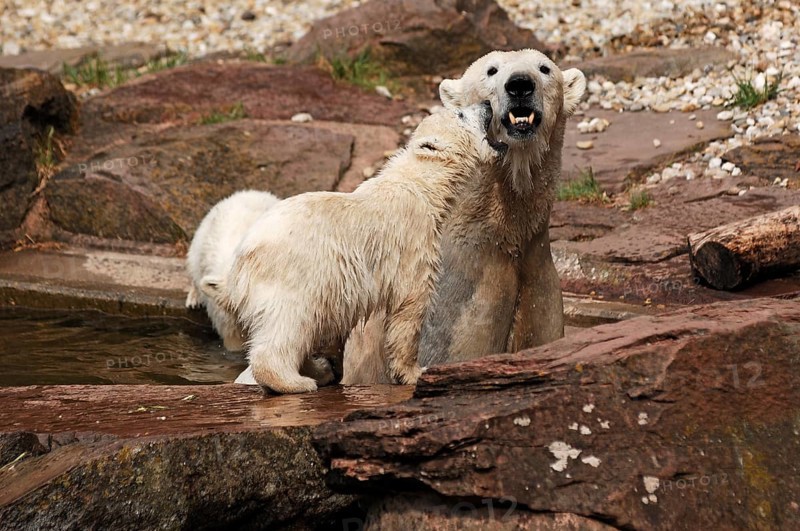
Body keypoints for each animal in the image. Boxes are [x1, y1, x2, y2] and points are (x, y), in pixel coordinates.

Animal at [204, 102, 504, 394]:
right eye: (461, 113)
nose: (487, 104)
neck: (419, 185)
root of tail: (238, 268)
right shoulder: (412, 239)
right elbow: (410, 304)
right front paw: (414, 372)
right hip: (295, 277)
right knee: (290, 326)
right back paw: (297, 382)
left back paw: (319, 370)